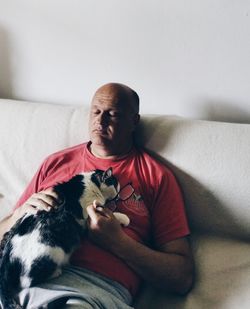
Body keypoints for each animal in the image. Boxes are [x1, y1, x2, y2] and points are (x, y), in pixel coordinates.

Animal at [0, 167, 129, 308]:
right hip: (53, 250)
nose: (118, 198)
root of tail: (6, 261)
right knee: (26, 281)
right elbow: (111, 213)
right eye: (116, 187)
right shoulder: (88, 213)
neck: (91, 183)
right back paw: (57, 271)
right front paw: (123, 218)